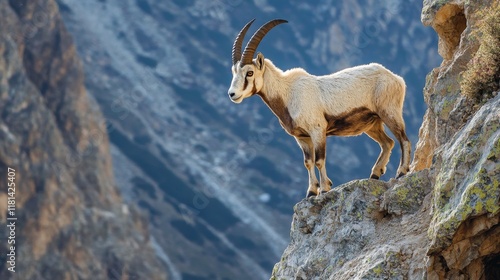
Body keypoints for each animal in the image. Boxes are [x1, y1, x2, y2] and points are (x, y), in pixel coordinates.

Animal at [229, 18, 412, 198]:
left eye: (250, 72)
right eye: (234, 72)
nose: (232, 94)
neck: (288, 93)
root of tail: (396, 78)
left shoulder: (318, 130)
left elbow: (319, 160)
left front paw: (324, 189)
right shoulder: (302, 137)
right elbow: (308, 162)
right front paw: (311, 192)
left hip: (389, 113)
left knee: (403, 139)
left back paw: (401, 172)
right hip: (372, 124)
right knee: (387, 142)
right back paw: (375, 174)